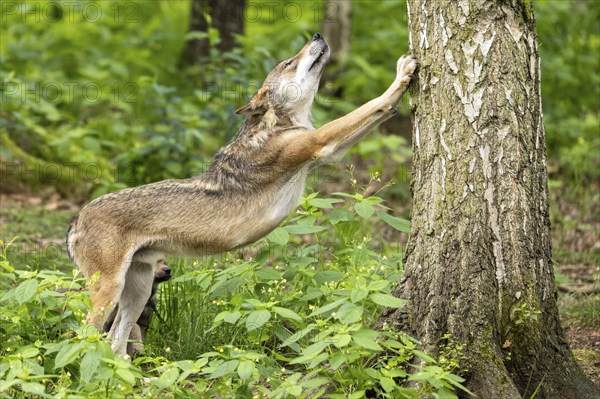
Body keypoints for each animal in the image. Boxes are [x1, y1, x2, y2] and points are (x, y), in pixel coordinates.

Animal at [67, 32, 418, 354]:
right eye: (289, 63)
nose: (317, 34)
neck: (278, 125)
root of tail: (75, 220)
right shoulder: (320, 143)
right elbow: (375, 103)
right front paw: (403, 71)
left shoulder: (327, 150)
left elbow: (378, 111)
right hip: (110, 291)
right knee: (84, 337)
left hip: (136, 293)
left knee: (115, 344)